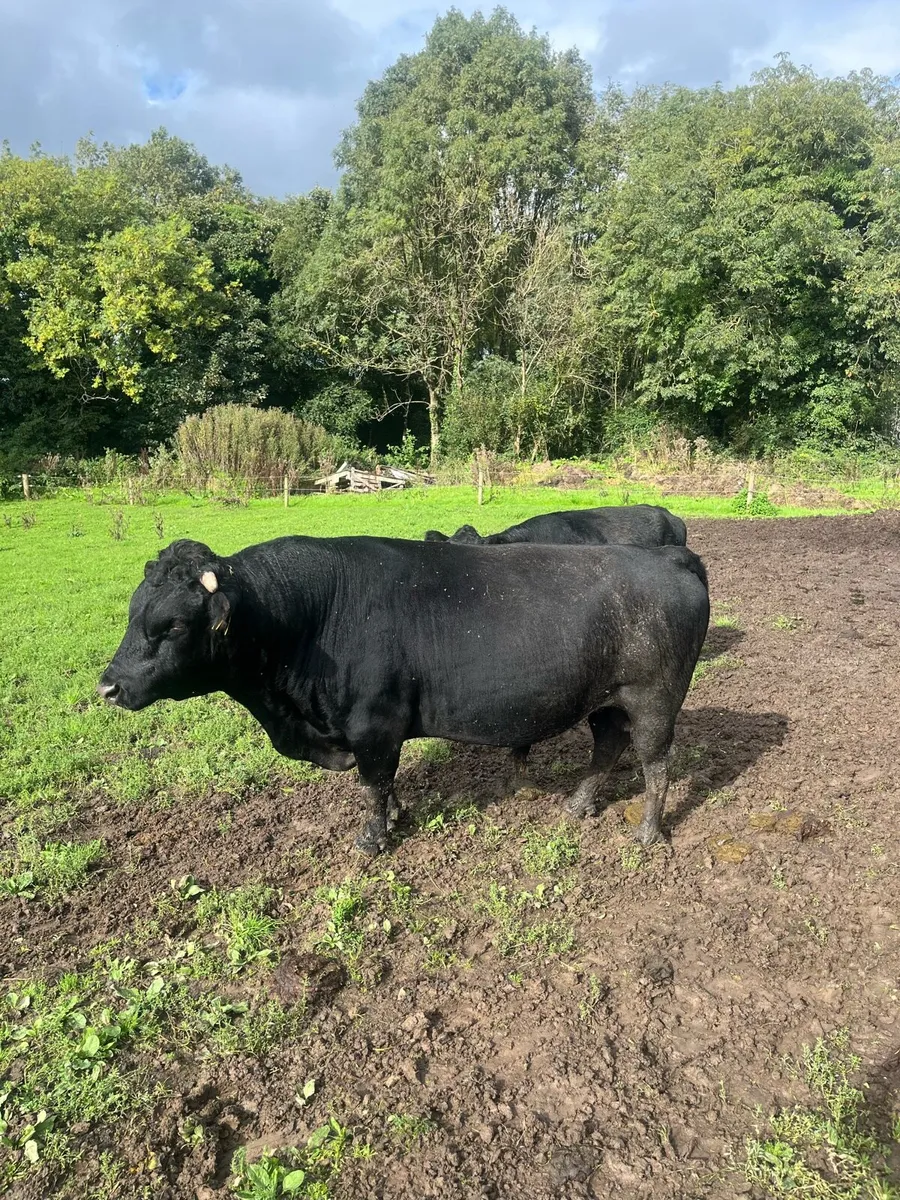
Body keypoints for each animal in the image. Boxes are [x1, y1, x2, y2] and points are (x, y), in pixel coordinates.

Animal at [97, 536, 709, 855]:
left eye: (172, 625)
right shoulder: (372, 733)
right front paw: (398, 816)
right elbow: (386, 785)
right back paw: (578, 806)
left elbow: (373, 785)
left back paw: (649, 834)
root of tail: (669, 556)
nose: (108, 685)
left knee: (656, 766)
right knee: (607, 746)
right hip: (606, 701)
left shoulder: (373, 726)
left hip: (655, 701)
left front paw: (373, 839)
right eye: (132, 611)